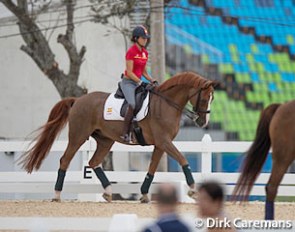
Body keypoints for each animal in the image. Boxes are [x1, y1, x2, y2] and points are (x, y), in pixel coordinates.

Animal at [17, 71, 217, 202]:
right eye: (205, 98)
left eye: (212, 99)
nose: (203, 122)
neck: (165, 103)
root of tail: (77, 100)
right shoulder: (164, 141)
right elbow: (183, 160)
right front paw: (193, 190)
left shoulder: (160, 144)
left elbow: (152, 169)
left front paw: (144, 194)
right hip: (78, 136)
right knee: (65, 160)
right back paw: (57, 195)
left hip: (105, 140)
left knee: (93, 162)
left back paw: (108, 192)